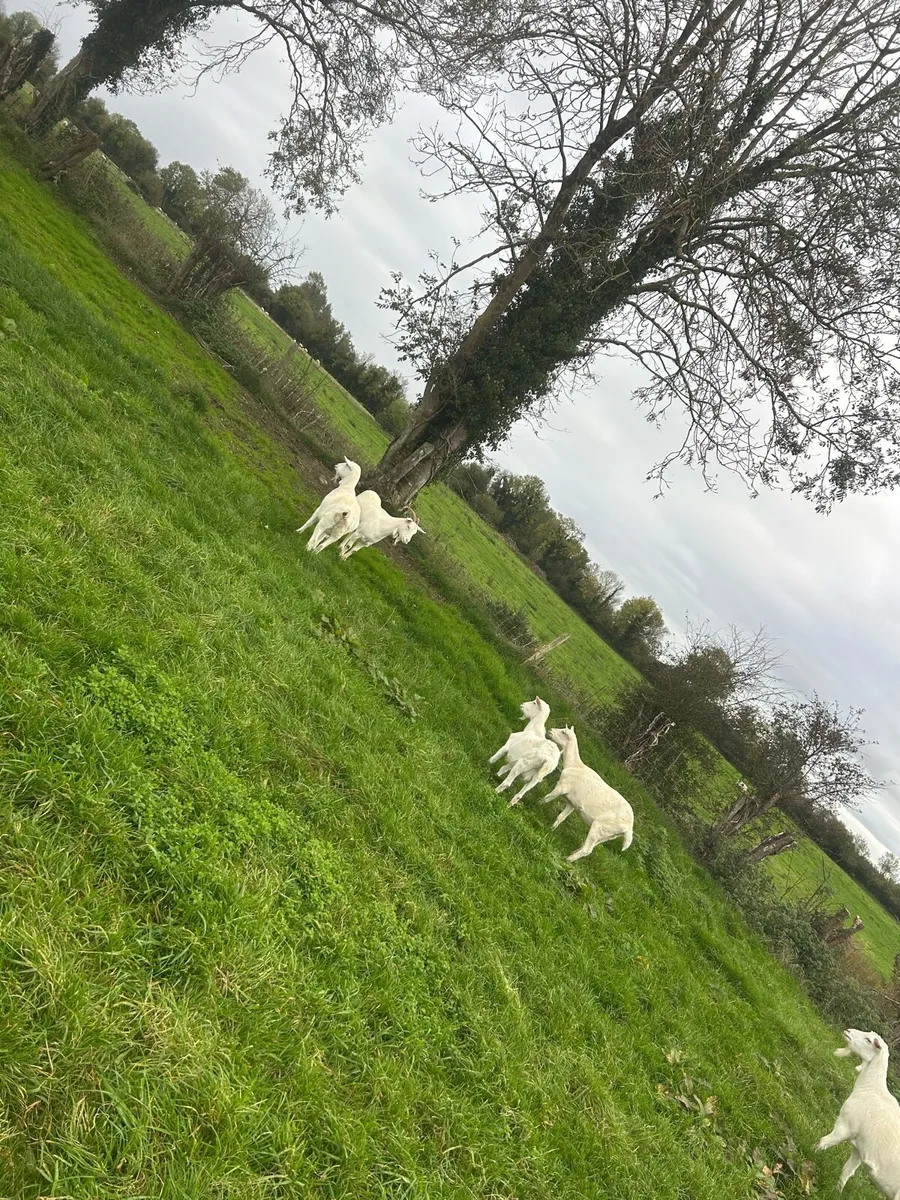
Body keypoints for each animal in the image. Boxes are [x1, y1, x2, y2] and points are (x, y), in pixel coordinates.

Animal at [540, 726, 634, 862]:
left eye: (563, 732)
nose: (550, 730)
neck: (574, 765)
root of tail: (629, 828)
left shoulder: (562, 787)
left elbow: (546, 798)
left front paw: (535, 805)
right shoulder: (572, 803)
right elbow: (561, 817)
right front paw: (551, 829)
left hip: (599, 827)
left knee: (587, 850)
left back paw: (568, 859)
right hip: (606, 835)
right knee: (590, 846)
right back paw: (573, 852)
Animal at [817, 1028, 900, 1197]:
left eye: (868, 1040)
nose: (847, 1031)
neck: (871, 1088)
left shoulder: (845, 1126)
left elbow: (824, 1142)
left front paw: (810, 1153)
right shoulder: (859, 1147)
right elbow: (847, 1172)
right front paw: (837, 1192)